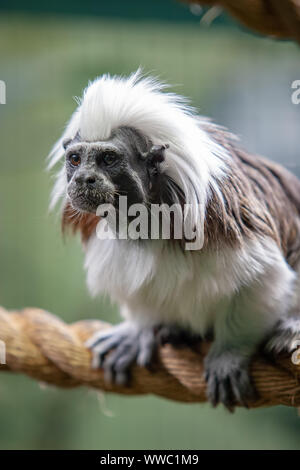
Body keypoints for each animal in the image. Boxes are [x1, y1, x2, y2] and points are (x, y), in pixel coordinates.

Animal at [49, 71, 300, 410]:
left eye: (108, 159)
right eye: (75, 159)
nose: (83, 178)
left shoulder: (223, 220)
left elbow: (263, 278)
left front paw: (229, 354)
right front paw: (138, 331)